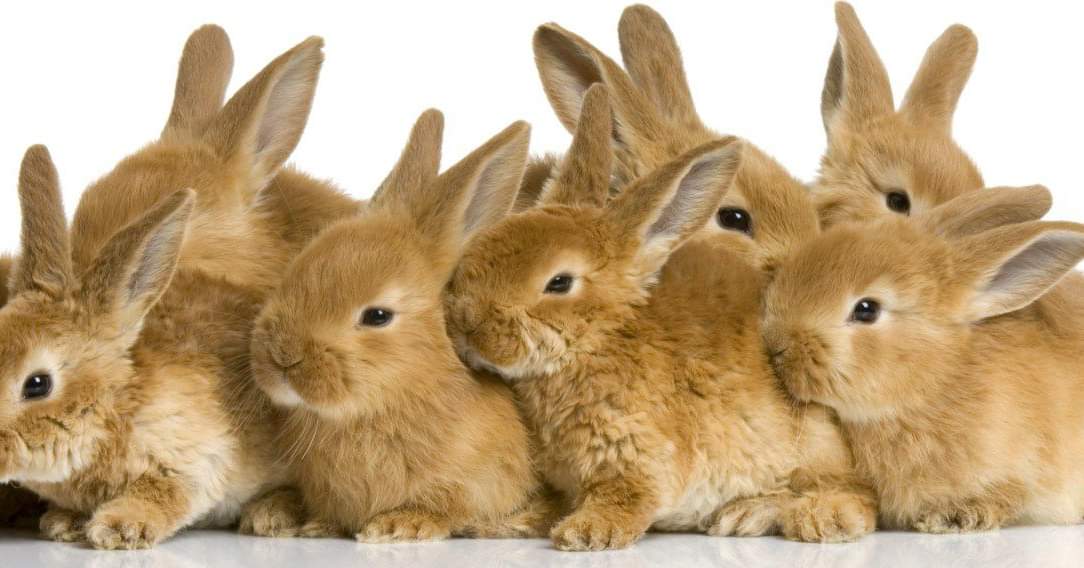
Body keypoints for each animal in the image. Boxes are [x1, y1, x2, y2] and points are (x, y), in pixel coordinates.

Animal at [0, 146, 293, 549]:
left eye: (37, 384)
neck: (118, 409)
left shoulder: (195, 459)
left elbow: (163, 493)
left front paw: (118, 528)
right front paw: (63, 523)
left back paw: (271, 516)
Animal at [244, 110, 559, 543]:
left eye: (377, 316)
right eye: (296, 269)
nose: (282, 357)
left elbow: (448, 507)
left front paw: (399, 525)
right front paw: (300, 521)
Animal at [444, 85, 875, 551]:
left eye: (559, 283)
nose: (467, 327)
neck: (599, 342)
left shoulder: (636, 456)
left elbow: (627, 497)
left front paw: (587, 532)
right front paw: (507, 523)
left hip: (812, 445)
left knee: (855, 497)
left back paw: (784, 516)